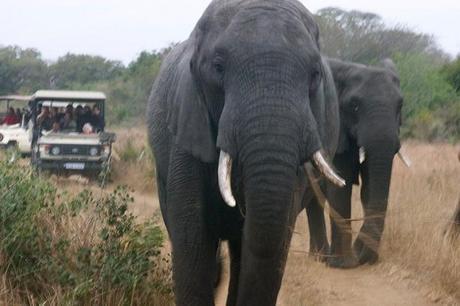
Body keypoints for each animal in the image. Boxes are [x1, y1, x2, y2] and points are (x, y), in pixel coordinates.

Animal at [306, 58, 406, 268]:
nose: (361, 256)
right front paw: (342, 265)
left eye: (400, 105)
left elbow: (369, 187)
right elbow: (341, 188)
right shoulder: (338, 131)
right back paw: (321, 257)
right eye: (354, 106)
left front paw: (367, 259)